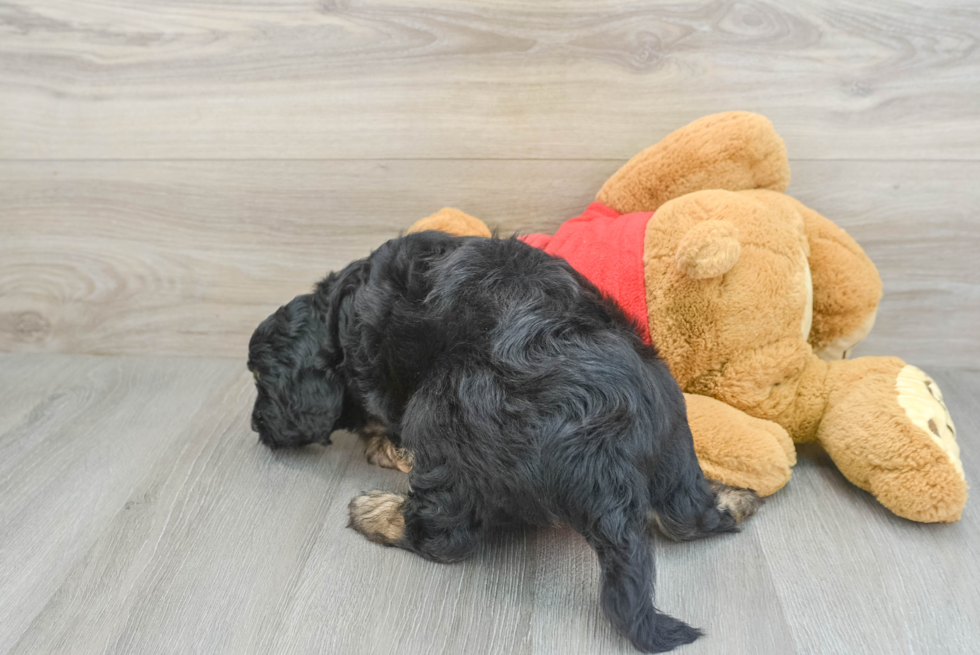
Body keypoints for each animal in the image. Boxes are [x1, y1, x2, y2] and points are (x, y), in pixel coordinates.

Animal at [245, 232, 756, 655]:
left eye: (259, 380)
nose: (254, 426)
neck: (337, 311)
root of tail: (602, 450)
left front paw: (383, 446)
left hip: (442, 410)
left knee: (442, 536)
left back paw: (376, 513)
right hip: (672, 436)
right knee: (686, 515)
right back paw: (735, 500)